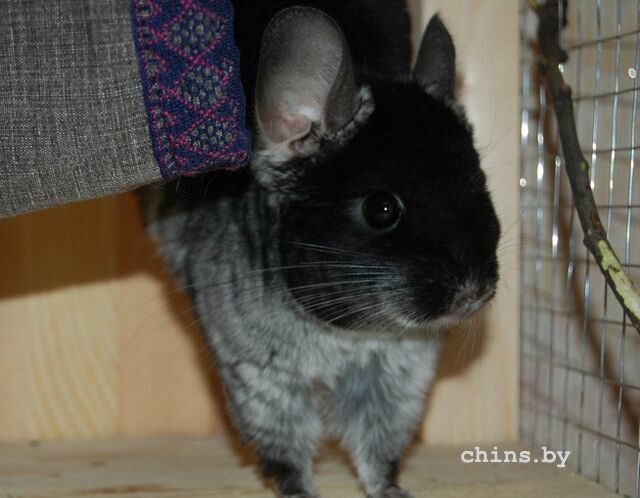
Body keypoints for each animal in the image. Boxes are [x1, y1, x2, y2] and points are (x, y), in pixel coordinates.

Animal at [140, 1, 501, 497]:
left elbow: (378, 446)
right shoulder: (260, 377)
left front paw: (392, 490)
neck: (343, 336)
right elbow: (286, 450)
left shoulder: (399, 372)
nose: (473, 292)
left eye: (479, 184)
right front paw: (301, 492)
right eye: (381, 208)